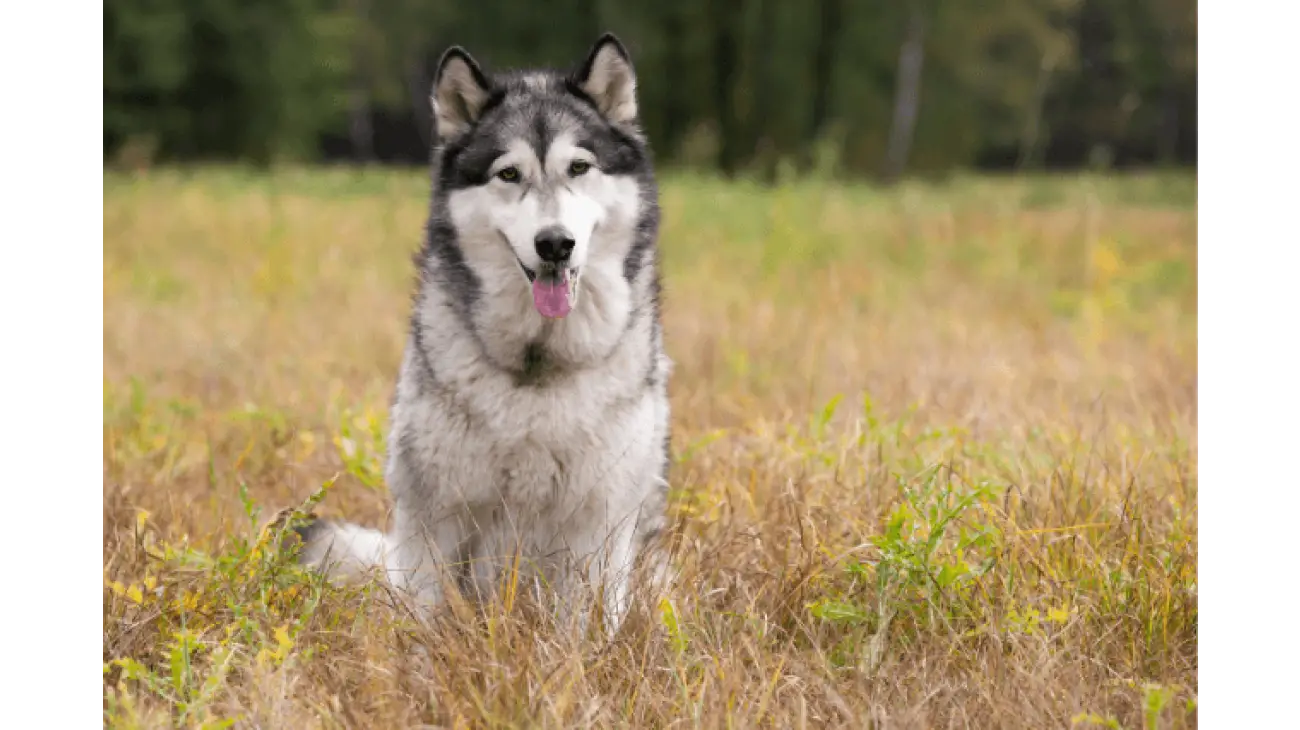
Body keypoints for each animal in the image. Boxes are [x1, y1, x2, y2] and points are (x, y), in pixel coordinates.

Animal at [291, 34, 676, 633]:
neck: (539, 365)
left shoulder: (598, 521)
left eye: (579, 167)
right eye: (509, 174)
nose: (554, 243)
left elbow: (578, 628)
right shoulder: (435, 514)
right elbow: (426, 621)